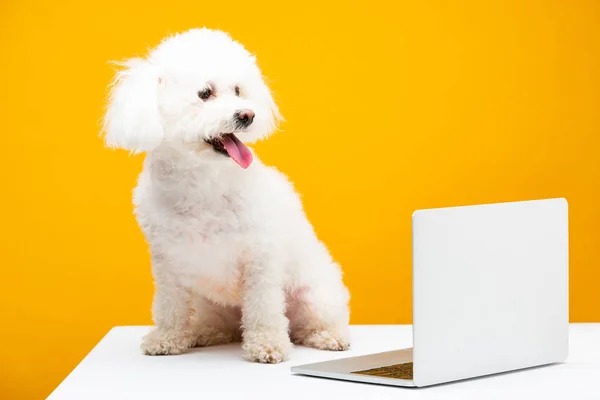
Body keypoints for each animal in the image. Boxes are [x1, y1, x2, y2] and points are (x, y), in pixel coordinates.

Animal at [101, 28, 350, 364]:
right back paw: (205, 333)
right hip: (209, 303)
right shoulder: (167, 260)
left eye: (238, 90)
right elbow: (169, 306)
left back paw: (327, 336)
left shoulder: (260, 256)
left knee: (309, 323)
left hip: (314, 295)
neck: (201, 180)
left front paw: (267, 344)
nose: (247, 114)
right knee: (223, 325)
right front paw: (167, 338)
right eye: (205, 93)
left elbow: (264, 308)